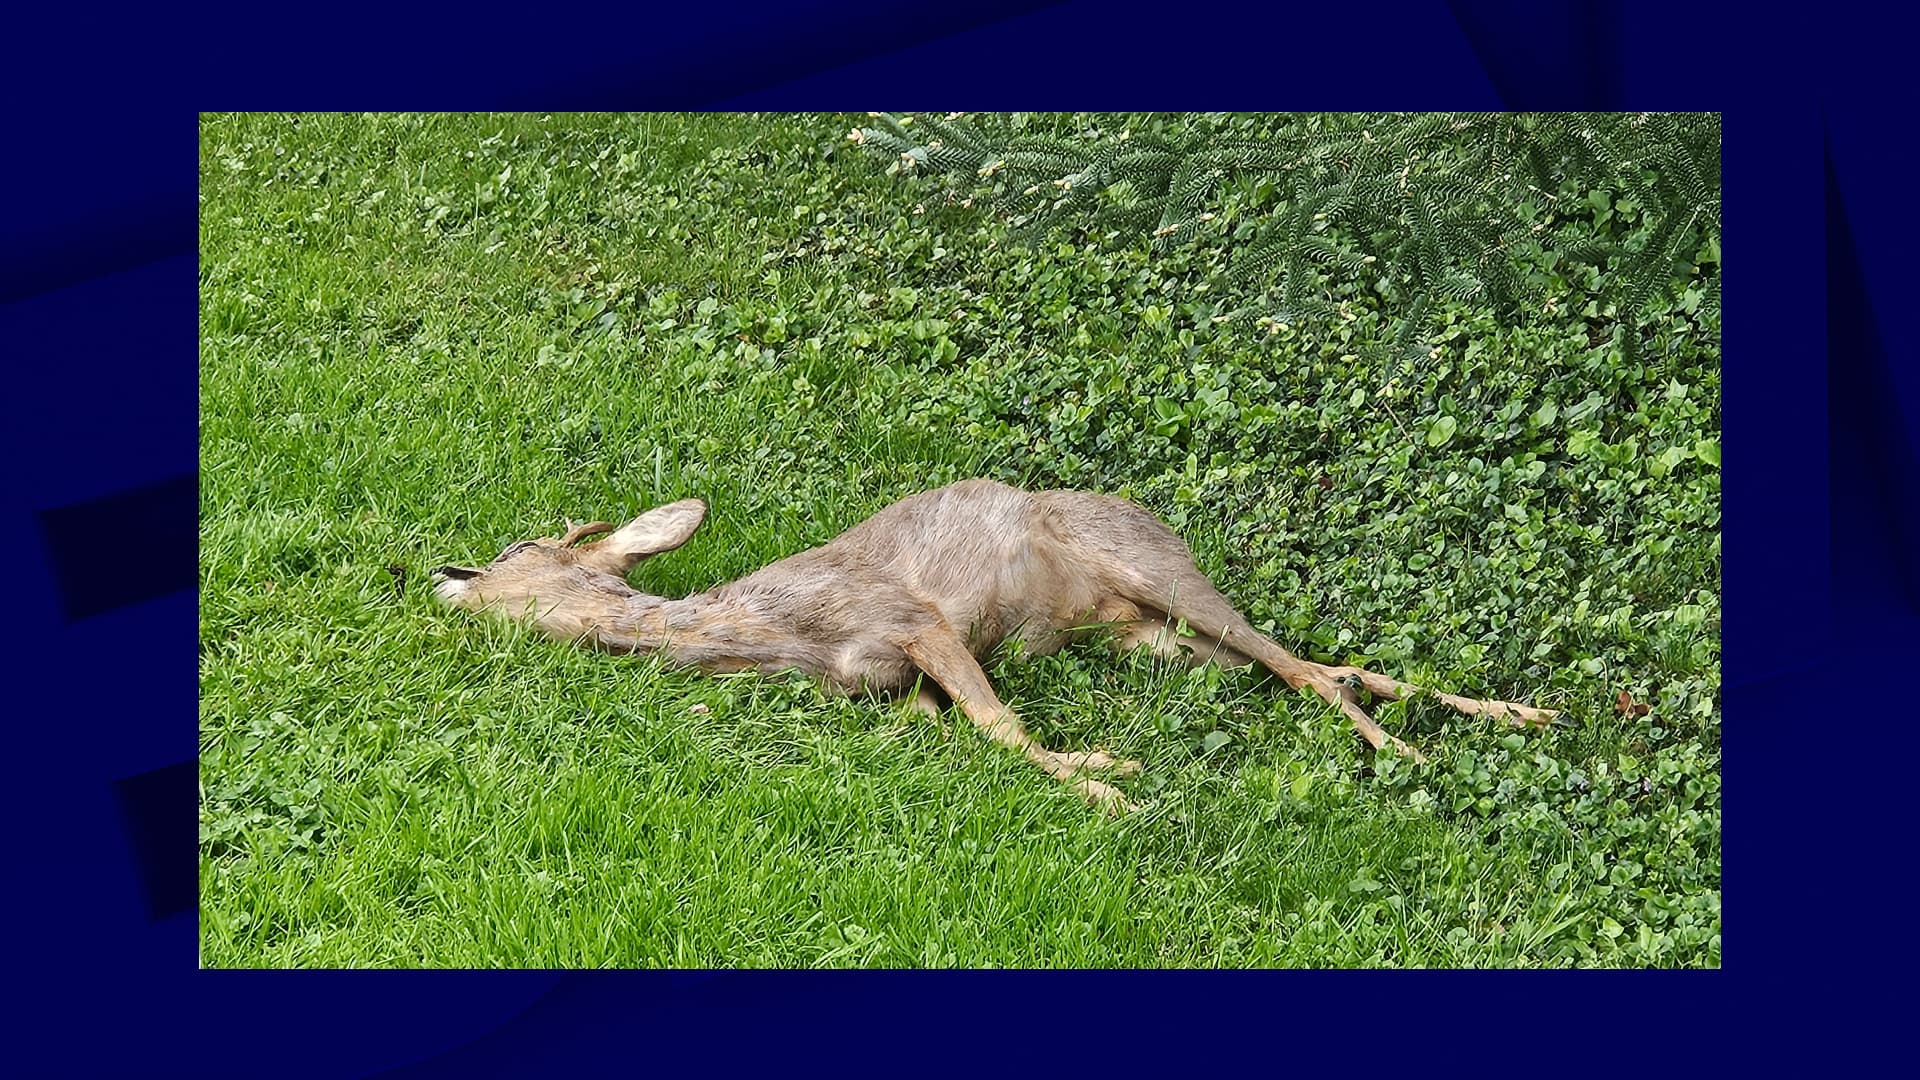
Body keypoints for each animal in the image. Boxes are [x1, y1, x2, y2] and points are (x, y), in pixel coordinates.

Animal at [435, 474, 1559, 810]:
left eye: (514, 549)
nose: (442, 575)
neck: (778, 635)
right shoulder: (898, 682)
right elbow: (965, 728)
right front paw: (1105, 769)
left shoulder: (914, 620)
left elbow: (1001, 727)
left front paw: (1110, 785)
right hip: (1158, 642)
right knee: (1319, 664)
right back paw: (1523, 714)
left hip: (1167, 580)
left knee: (1301, 666)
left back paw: (1418, 748)